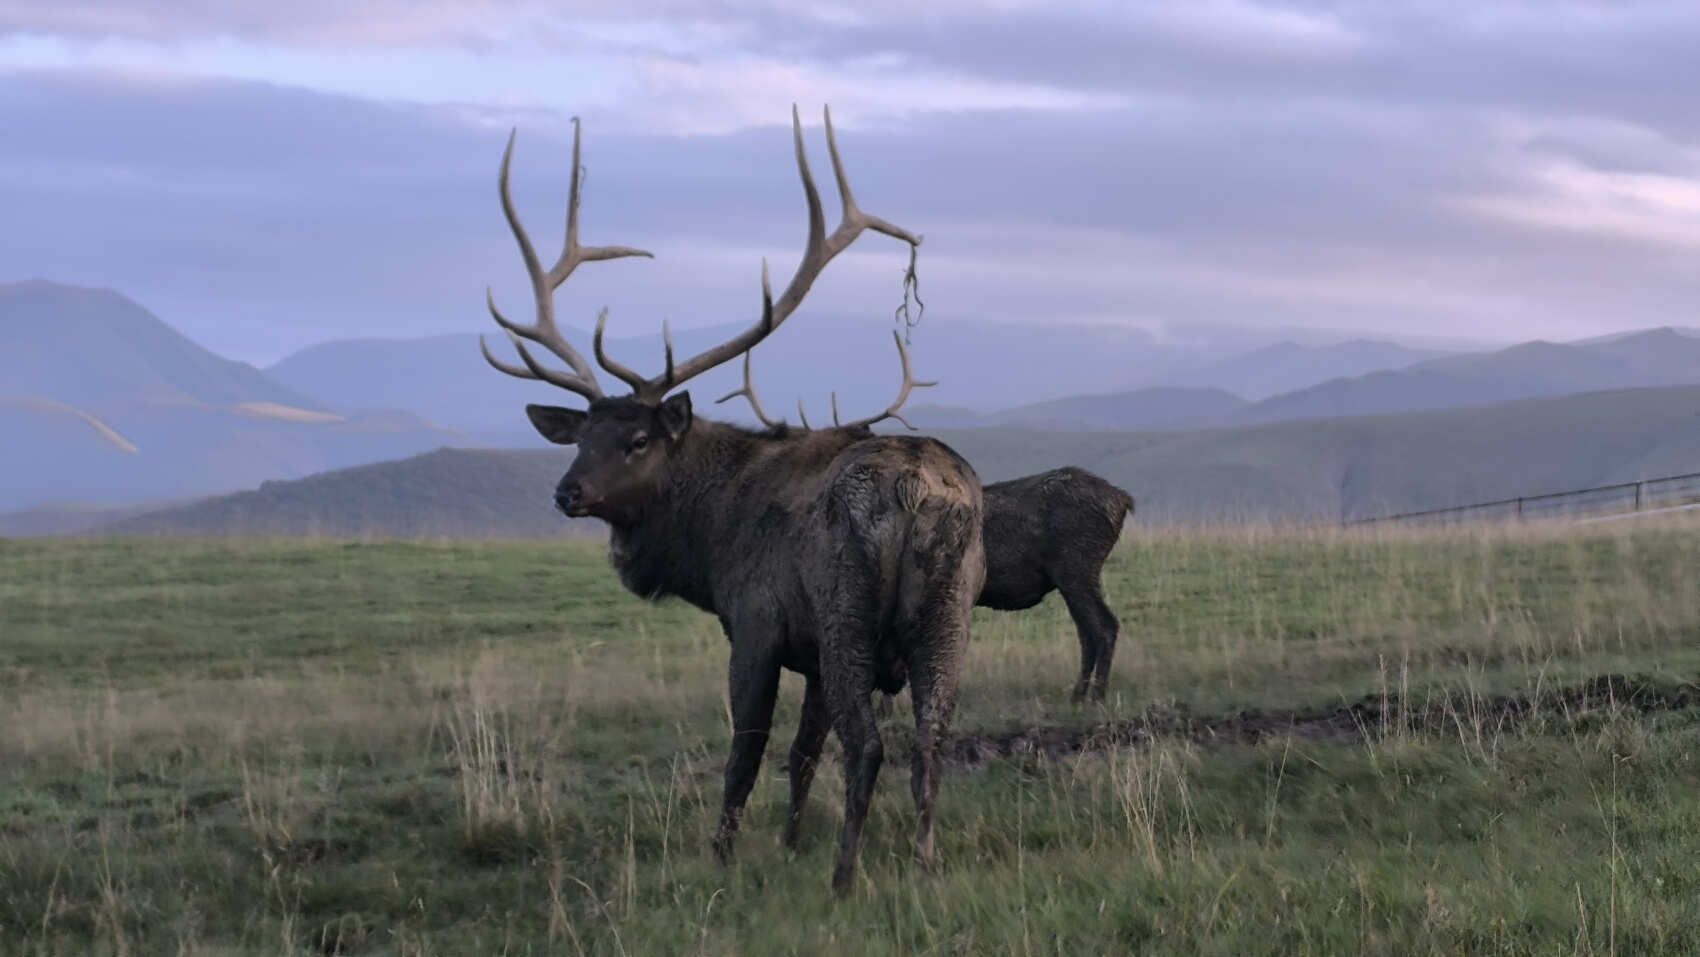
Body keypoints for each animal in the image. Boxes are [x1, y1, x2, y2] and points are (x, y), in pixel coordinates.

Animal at [479, 108, 986, 897]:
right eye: (581, 435)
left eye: (637, 439)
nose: (568, 492)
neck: (709, 540)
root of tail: (917, 491)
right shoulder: (808, 653)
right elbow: (802, 753)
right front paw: (789, 842)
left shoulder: (757, 622)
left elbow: (745, 753)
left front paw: (723, 852)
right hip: (949, 609)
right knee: (931, 739)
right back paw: (925, 864)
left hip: (845, 607)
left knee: (869, 744)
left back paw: (845, 876)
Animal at [724, 360, 1135, 703]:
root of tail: (1122, 500)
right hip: (1073, 572)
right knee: (1087, 630)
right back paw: (1080, 694)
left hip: (1077, 563)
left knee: (1104, 626)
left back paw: (1094, 696)